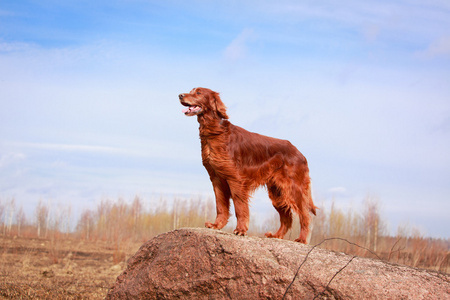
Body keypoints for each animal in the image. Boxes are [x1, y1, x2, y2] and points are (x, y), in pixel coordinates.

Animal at [179, 87, 316, 244]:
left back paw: (302, 239)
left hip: (293, 189)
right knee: (286, 216)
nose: (180, 95)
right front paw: (216, 225)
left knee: (305, 215)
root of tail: (300, 154)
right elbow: (220, 206)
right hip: (277, 193)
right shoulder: (216, 179)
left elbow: (240, 207)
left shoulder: (235, 179)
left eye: (198, 93)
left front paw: (241, 230)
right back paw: (276, 236)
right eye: (191, 91)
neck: (214, 132)